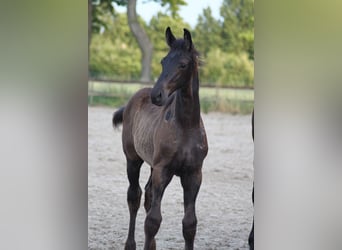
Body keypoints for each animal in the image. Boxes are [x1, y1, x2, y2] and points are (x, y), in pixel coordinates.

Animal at [113, 27, 207, 250]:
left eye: (183, 64)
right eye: (163, 61)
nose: (157, 95)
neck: (186, 125)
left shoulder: (193, 174)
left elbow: (190, 224)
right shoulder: (163, 170)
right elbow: (153, 221)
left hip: (151, 164)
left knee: (147, 194)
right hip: (133, 159)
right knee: (135, 196)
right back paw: (130, 244)